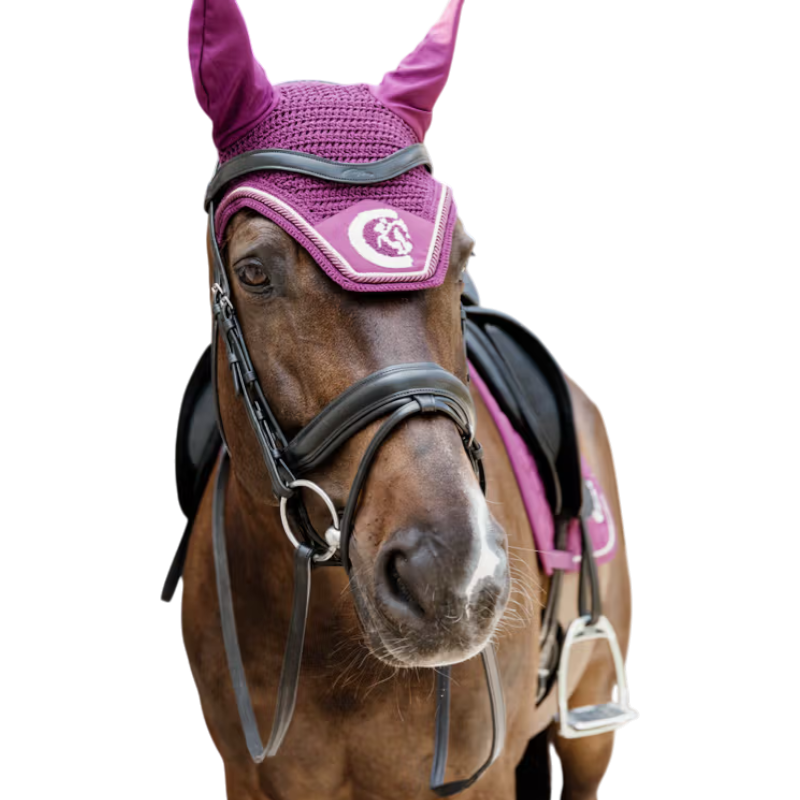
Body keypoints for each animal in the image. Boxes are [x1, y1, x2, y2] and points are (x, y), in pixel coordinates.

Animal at [176, 2, 635, 798]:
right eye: (255, 270)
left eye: (464, 256)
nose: (451, 576)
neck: (333, 643)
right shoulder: (248, 775)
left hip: (589, 729)